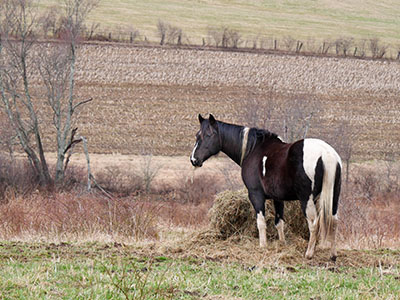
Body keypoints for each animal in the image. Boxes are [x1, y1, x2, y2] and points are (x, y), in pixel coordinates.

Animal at [191, 115, 340, 260]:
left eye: (208, 135)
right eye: (197, 135)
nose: (194, 160)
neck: (253, 149)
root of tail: (325, 153)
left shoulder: (256, 195)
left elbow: (261, 222)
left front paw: (263, 246)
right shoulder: (278, 198)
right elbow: (279, 222)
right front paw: (282, 244)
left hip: (307, 200)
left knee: (314, 223)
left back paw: (309, 253)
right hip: (333, 199)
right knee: (333, 221)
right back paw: (332, 255)